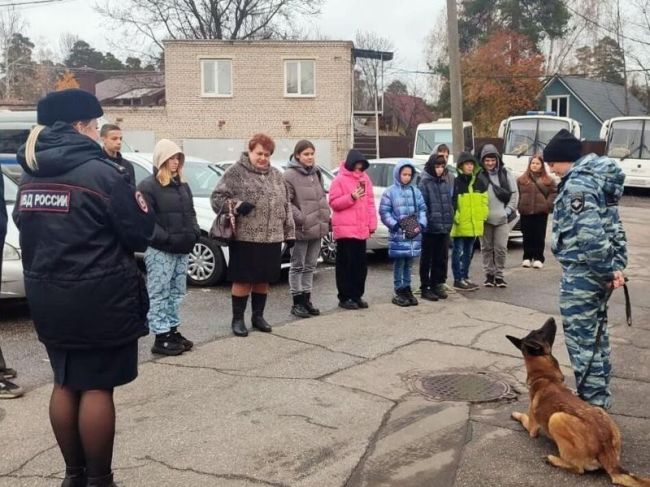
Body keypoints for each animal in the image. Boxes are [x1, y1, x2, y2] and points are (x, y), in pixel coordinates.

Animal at [506, 318, 648, 486]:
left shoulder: (533, 428)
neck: (546, 378)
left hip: (556, 418)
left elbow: (524, 417)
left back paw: (553, 459)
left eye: (538, 331)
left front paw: (516, 414)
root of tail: (606, 449)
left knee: (578, 469)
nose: (552, 319)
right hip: (599, 411)